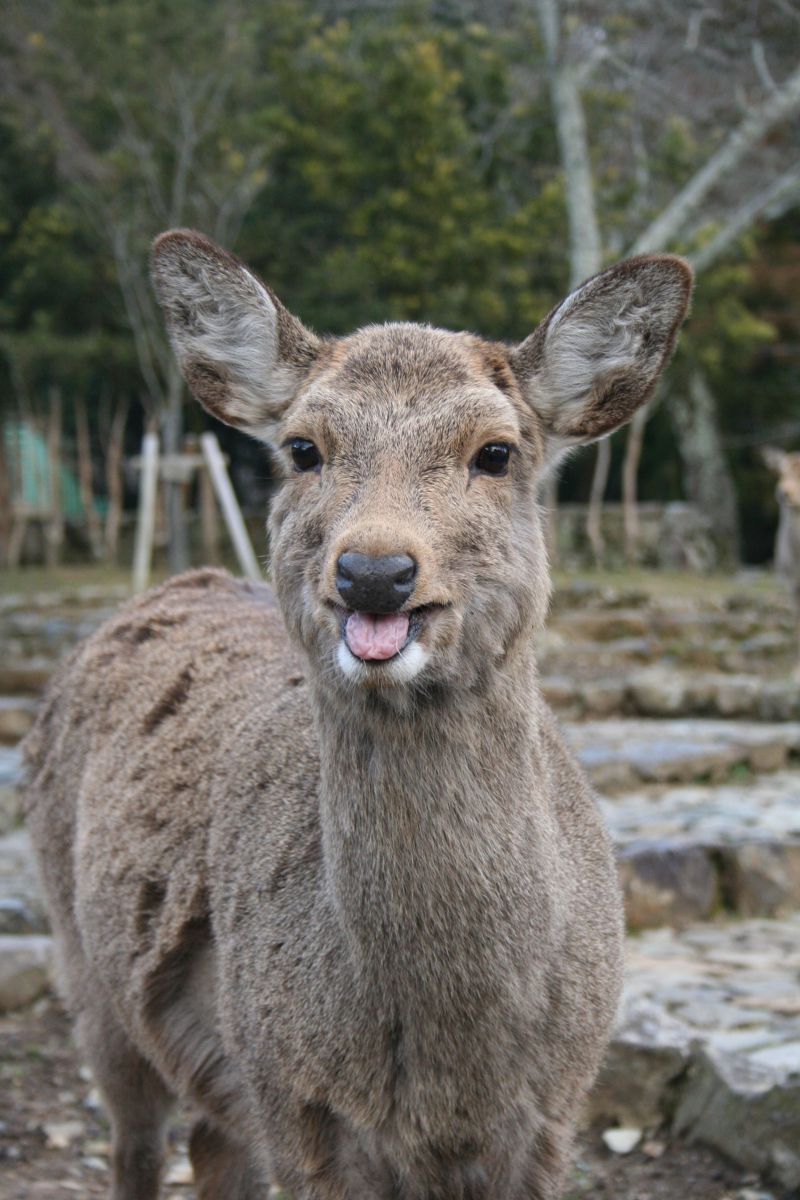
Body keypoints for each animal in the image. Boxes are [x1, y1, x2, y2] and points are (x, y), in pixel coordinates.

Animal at [23, 230, 692, 1200]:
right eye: (304, 448)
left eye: (497, 452)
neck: (454, 1071)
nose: (374, 571)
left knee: (211, 1147)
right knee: (135, 1141)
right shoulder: (294, 1101)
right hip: (87, 967)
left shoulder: (554, 1115)